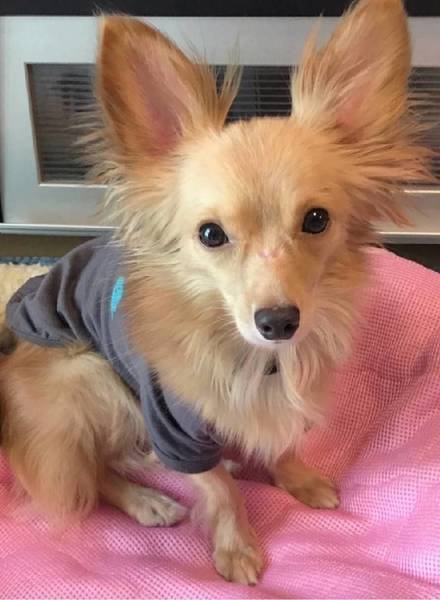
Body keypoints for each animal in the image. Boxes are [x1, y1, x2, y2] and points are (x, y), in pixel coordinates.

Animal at [0, 0, 431, 585]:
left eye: (316, 220)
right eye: (210, 234)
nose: (278, 322)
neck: (259, 361)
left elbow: (282, 441)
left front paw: (295, 477)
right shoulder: (172, 426)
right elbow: (221, 490)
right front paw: (236, 546)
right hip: (91, 375)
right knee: (90, 471)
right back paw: (147, 500)